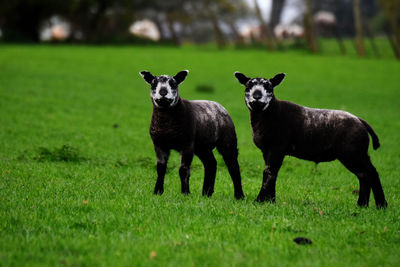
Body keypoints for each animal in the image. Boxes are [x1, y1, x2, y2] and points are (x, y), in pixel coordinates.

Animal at [141, 70, 247, 200]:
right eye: (153, 84)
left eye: (173, 84)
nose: (163, 93)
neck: (166, 124)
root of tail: (219, 105)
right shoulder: (159, 144)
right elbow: (160, 168)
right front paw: (157, 192)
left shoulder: (187, 144)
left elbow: (183, 169)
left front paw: (185, 193)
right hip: (202, 147)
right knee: (211, 164)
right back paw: (207, 193)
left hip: (227, 140)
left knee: (233, 165)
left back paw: (239, 195)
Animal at [234, 71, 388, 209]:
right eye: (248, 86)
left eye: (269, 87)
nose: (257, 96)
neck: (270, 114)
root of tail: (360, 121)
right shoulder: (268, 150)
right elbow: (273, 173)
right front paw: (270, 200)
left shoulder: (277, 147)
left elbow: (269, 172)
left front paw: (260, 200)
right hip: (361, 153)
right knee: (372, 172)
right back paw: (379, 205)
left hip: (352, 152)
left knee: (364, 174)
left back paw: (363, 204)